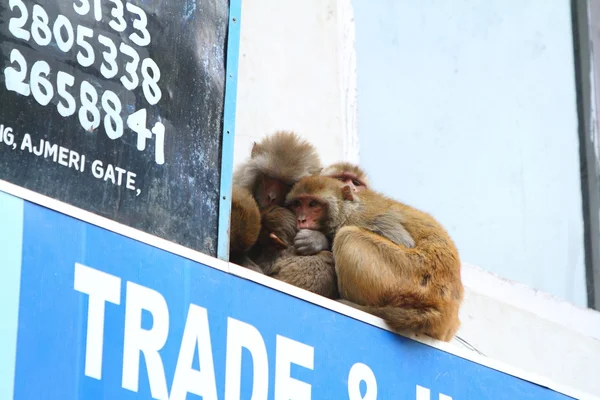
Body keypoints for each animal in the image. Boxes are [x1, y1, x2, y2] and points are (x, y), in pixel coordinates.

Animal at [284, 177, 464, 342]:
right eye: (297, 204)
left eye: (313, 204)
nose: (301, 219)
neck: (347, 210)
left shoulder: (363, 218)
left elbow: (403, 241)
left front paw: (317, 240)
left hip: (406, 278)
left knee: (347, 236)